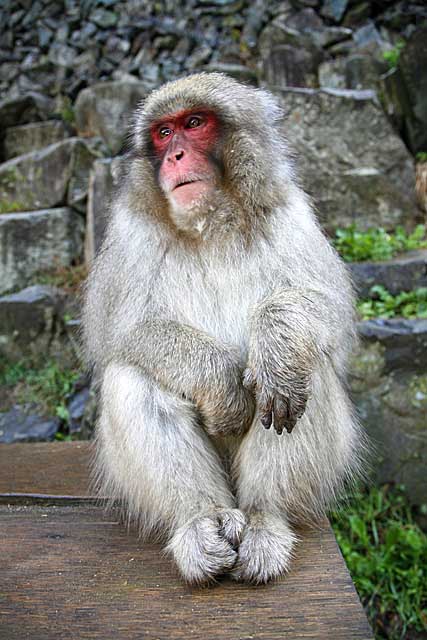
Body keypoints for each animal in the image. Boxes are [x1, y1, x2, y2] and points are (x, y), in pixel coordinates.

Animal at [83, 71, 364, 584]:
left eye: (195, 123)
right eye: (164, 133)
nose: (175, 156)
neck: (212, 224)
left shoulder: (288, 214)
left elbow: (327, 310)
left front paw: (275, 342)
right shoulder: (132, 232)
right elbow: (121, 332)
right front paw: (219, 383)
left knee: (305, 370)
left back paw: (263, 518)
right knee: (133, 376)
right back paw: (201, 519)